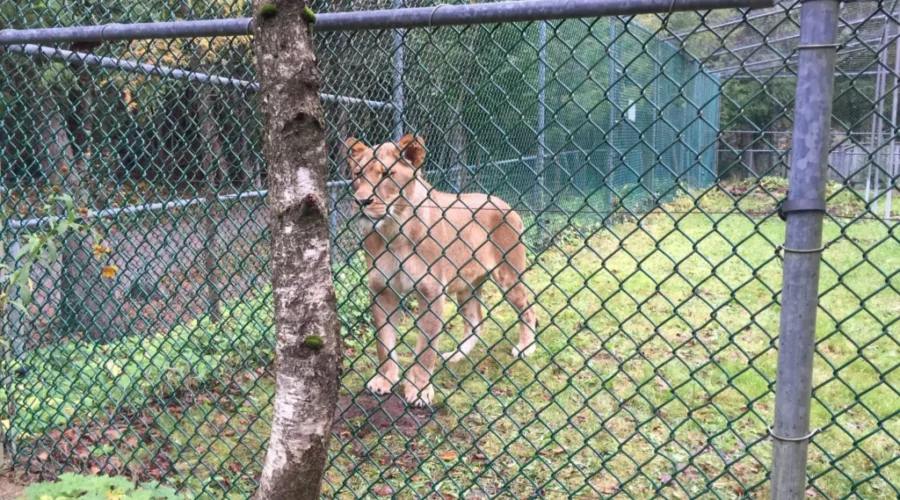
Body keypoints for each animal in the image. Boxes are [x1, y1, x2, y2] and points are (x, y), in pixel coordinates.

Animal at [345, 133, 537, 407]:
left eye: (387, 174)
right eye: (358, 174)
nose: (361, 201)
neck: (394, 229)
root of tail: (503, 203)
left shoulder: (432, 293)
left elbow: (425, 349)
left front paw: (419, 389)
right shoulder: (382, 290)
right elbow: (384, 343)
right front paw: (384, 380)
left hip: (509, 274)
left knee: (528, 309)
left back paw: (525, 348)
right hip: (467, 285)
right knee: (475, 321)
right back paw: (455, 356)